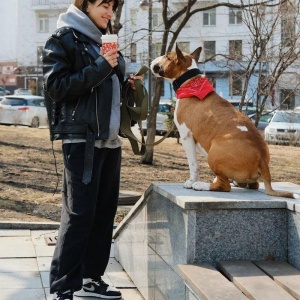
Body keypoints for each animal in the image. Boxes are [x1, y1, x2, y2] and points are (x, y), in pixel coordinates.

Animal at [151, 44, 298, 199]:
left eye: (167, 56)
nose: (153, 60)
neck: (190, 82)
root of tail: (262, 159)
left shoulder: (186, 136)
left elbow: (193, 163)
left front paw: (191, 181)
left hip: (214, 152)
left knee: (224, 185)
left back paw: (202, 185)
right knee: (252, 185)